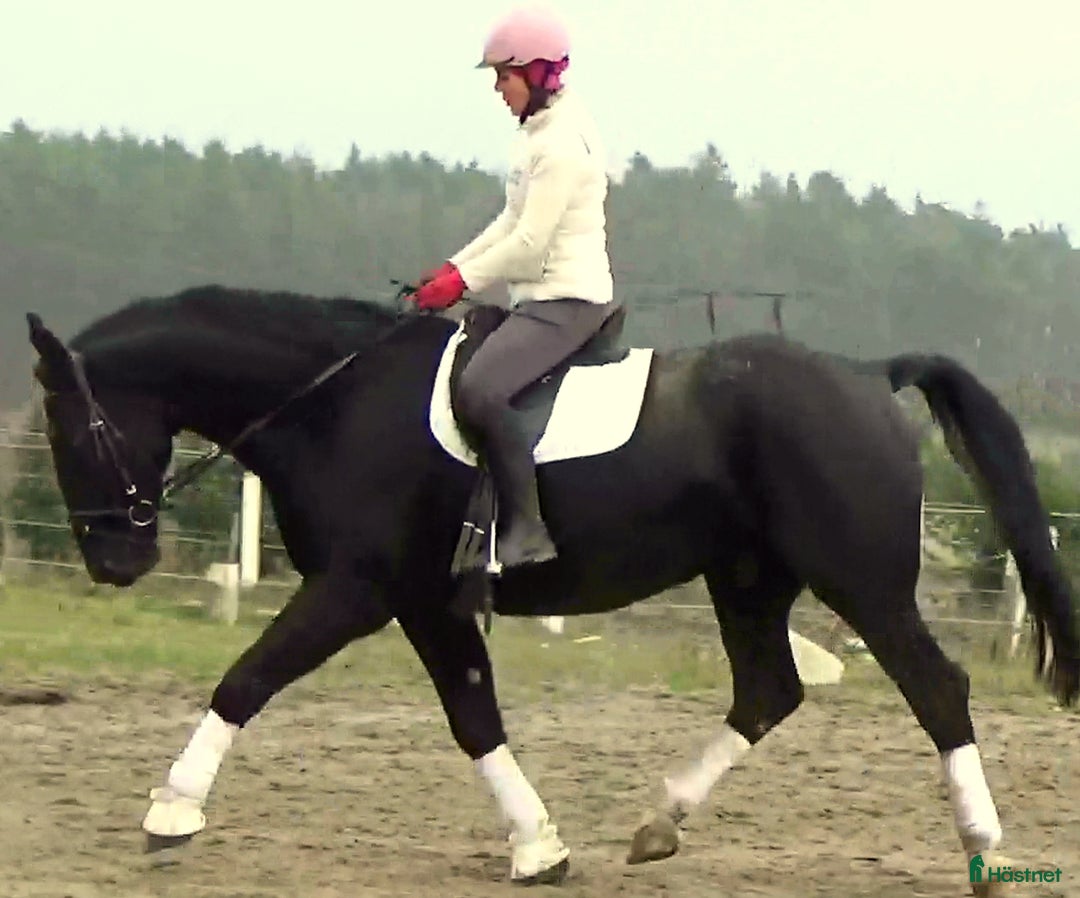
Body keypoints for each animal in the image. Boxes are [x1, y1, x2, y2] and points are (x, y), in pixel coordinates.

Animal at [25, 284, 1079, 895]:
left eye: (74, 429)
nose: (114, 562)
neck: (334, 405)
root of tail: (868, 374)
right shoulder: (428, 603)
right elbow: (474, 718)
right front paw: (540, 849)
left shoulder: (357, 589)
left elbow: (244, 681)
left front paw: (169, 814)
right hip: (748, 581)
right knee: (767, 692)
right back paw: (657, 825)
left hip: (861, 581)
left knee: (936, 689)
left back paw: (986, 853)